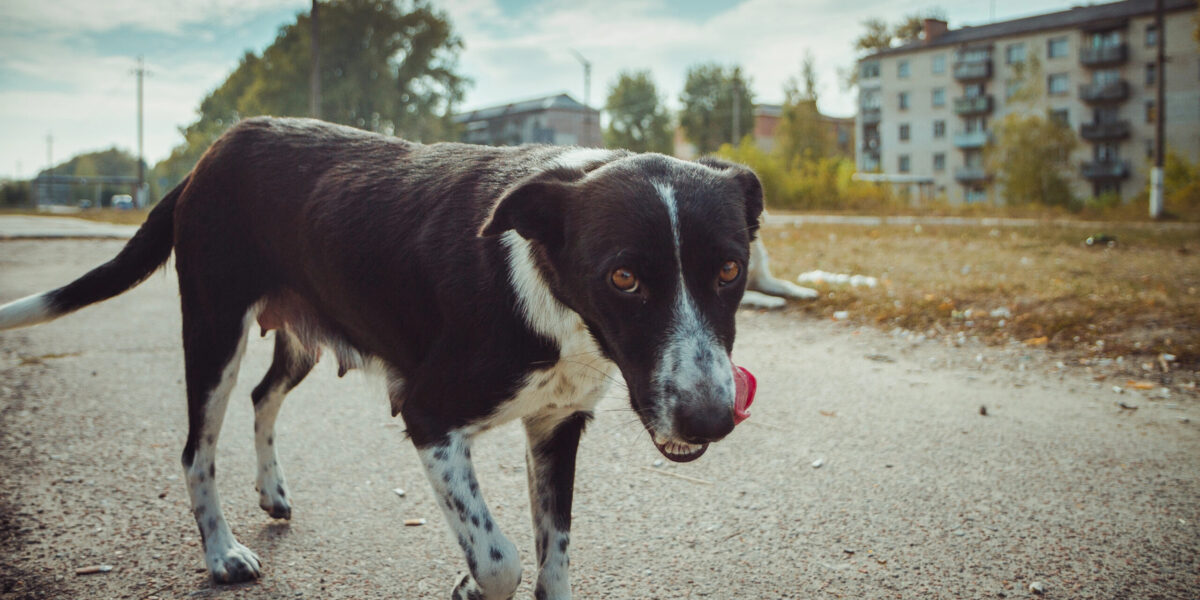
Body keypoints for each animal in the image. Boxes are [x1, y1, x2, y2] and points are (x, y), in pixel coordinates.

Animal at [0, 115, 763, 595]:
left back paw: (272, 492)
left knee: (263, 397)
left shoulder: (556, 426)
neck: (553, 301)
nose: (711, 419)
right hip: (214, 330)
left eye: (731, 270)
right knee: (196, 450)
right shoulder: (429, 415)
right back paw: (222, 555)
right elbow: (501, 561)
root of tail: (209, 156)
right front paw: (469, 582)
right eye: (623, 278)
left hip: (300, 339)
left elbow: (555, 561)